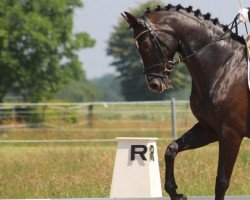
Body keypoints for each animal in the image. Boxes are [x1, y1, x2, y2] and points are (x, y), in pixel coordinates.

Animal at [122, 3, 250, 200]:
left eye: (144, 44)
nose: (155, 84)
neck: (223, 66)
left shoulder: (231, 132)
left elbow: (221, 182)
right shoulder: (209, 129)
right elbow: (171, 149)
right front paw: (175, 192)